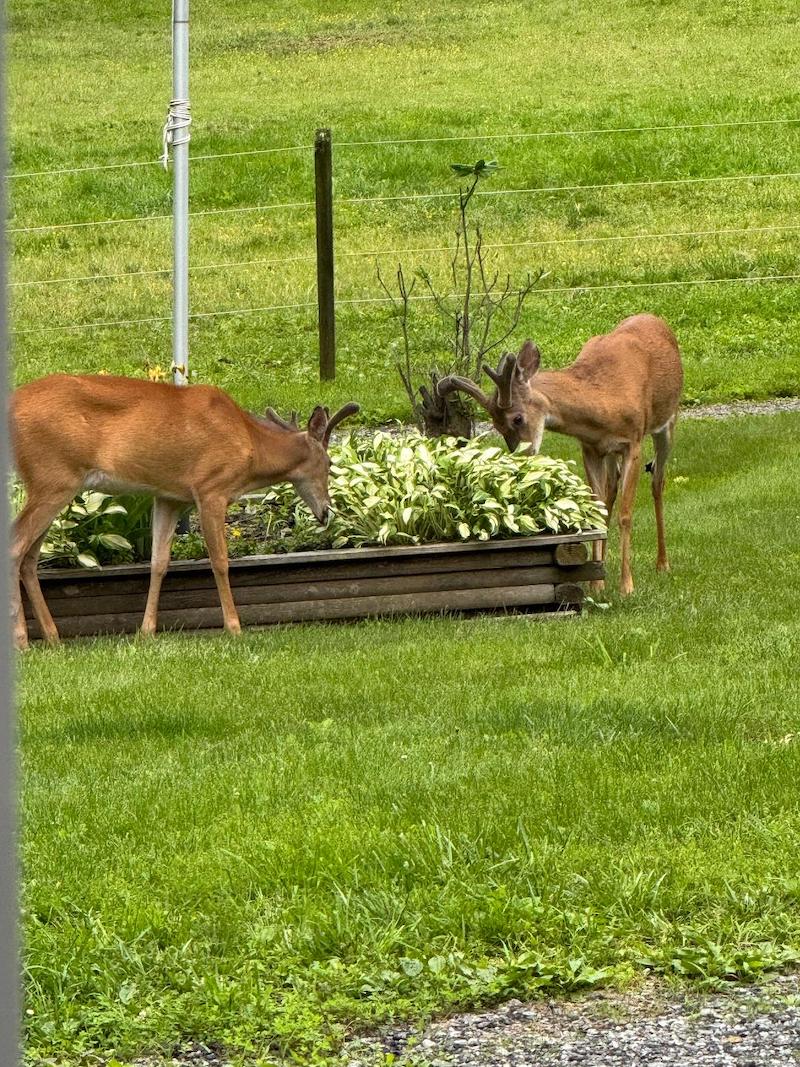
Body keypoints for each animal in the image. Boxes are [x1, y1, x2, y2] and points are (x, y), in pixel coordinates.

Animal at [10, 374, 360, 650]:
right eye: (330, 463)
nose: (327, 511)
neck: (250, 445)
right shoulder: (211, 489)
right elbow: (220, 561)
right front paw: (234, 627)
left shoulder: (169, 497)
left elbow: (159, 562)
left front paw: (146, 631)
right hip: (53, 477)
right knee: (16, 546)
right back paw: (22, 641)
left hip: (55, 484)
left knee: (30, 557)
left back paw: (54, 638)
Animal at [437, 313, 683, 596]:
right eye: (496, 427)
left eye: (517, 418)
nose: (522, 458)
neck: (604, 401)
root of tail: (654, 318)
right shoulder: (591, 448)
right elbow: (598, 511)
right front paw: (596, 583)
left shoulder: (633, 442)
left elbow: (625, 514)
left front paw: (626, 586)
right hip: (611, 453)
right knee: (612, 488)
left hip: (667, 421)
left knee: (657, 482)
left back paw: (663, 563)